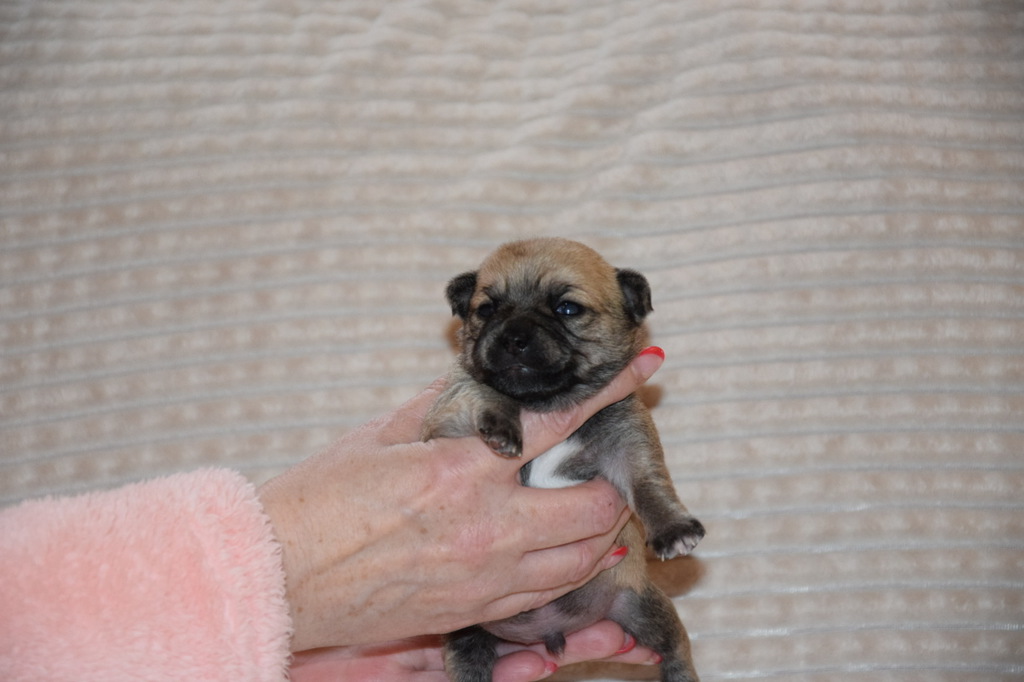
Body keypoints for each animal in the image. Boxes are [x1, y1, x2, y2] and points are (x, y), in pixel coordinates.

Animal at [422, 238, 704, 682]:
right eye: (486, 310)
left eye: (567, 309)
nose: (513, 338)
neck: (547, 404)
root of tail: (550, 631)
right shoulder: (446, 418)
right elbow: (485, 389)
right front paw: (502, 423)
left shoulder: (629, 441)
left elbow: (648, 481)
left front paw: (673, 528)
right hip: (465, 630)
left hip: (641, 604)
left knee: (676, 646)